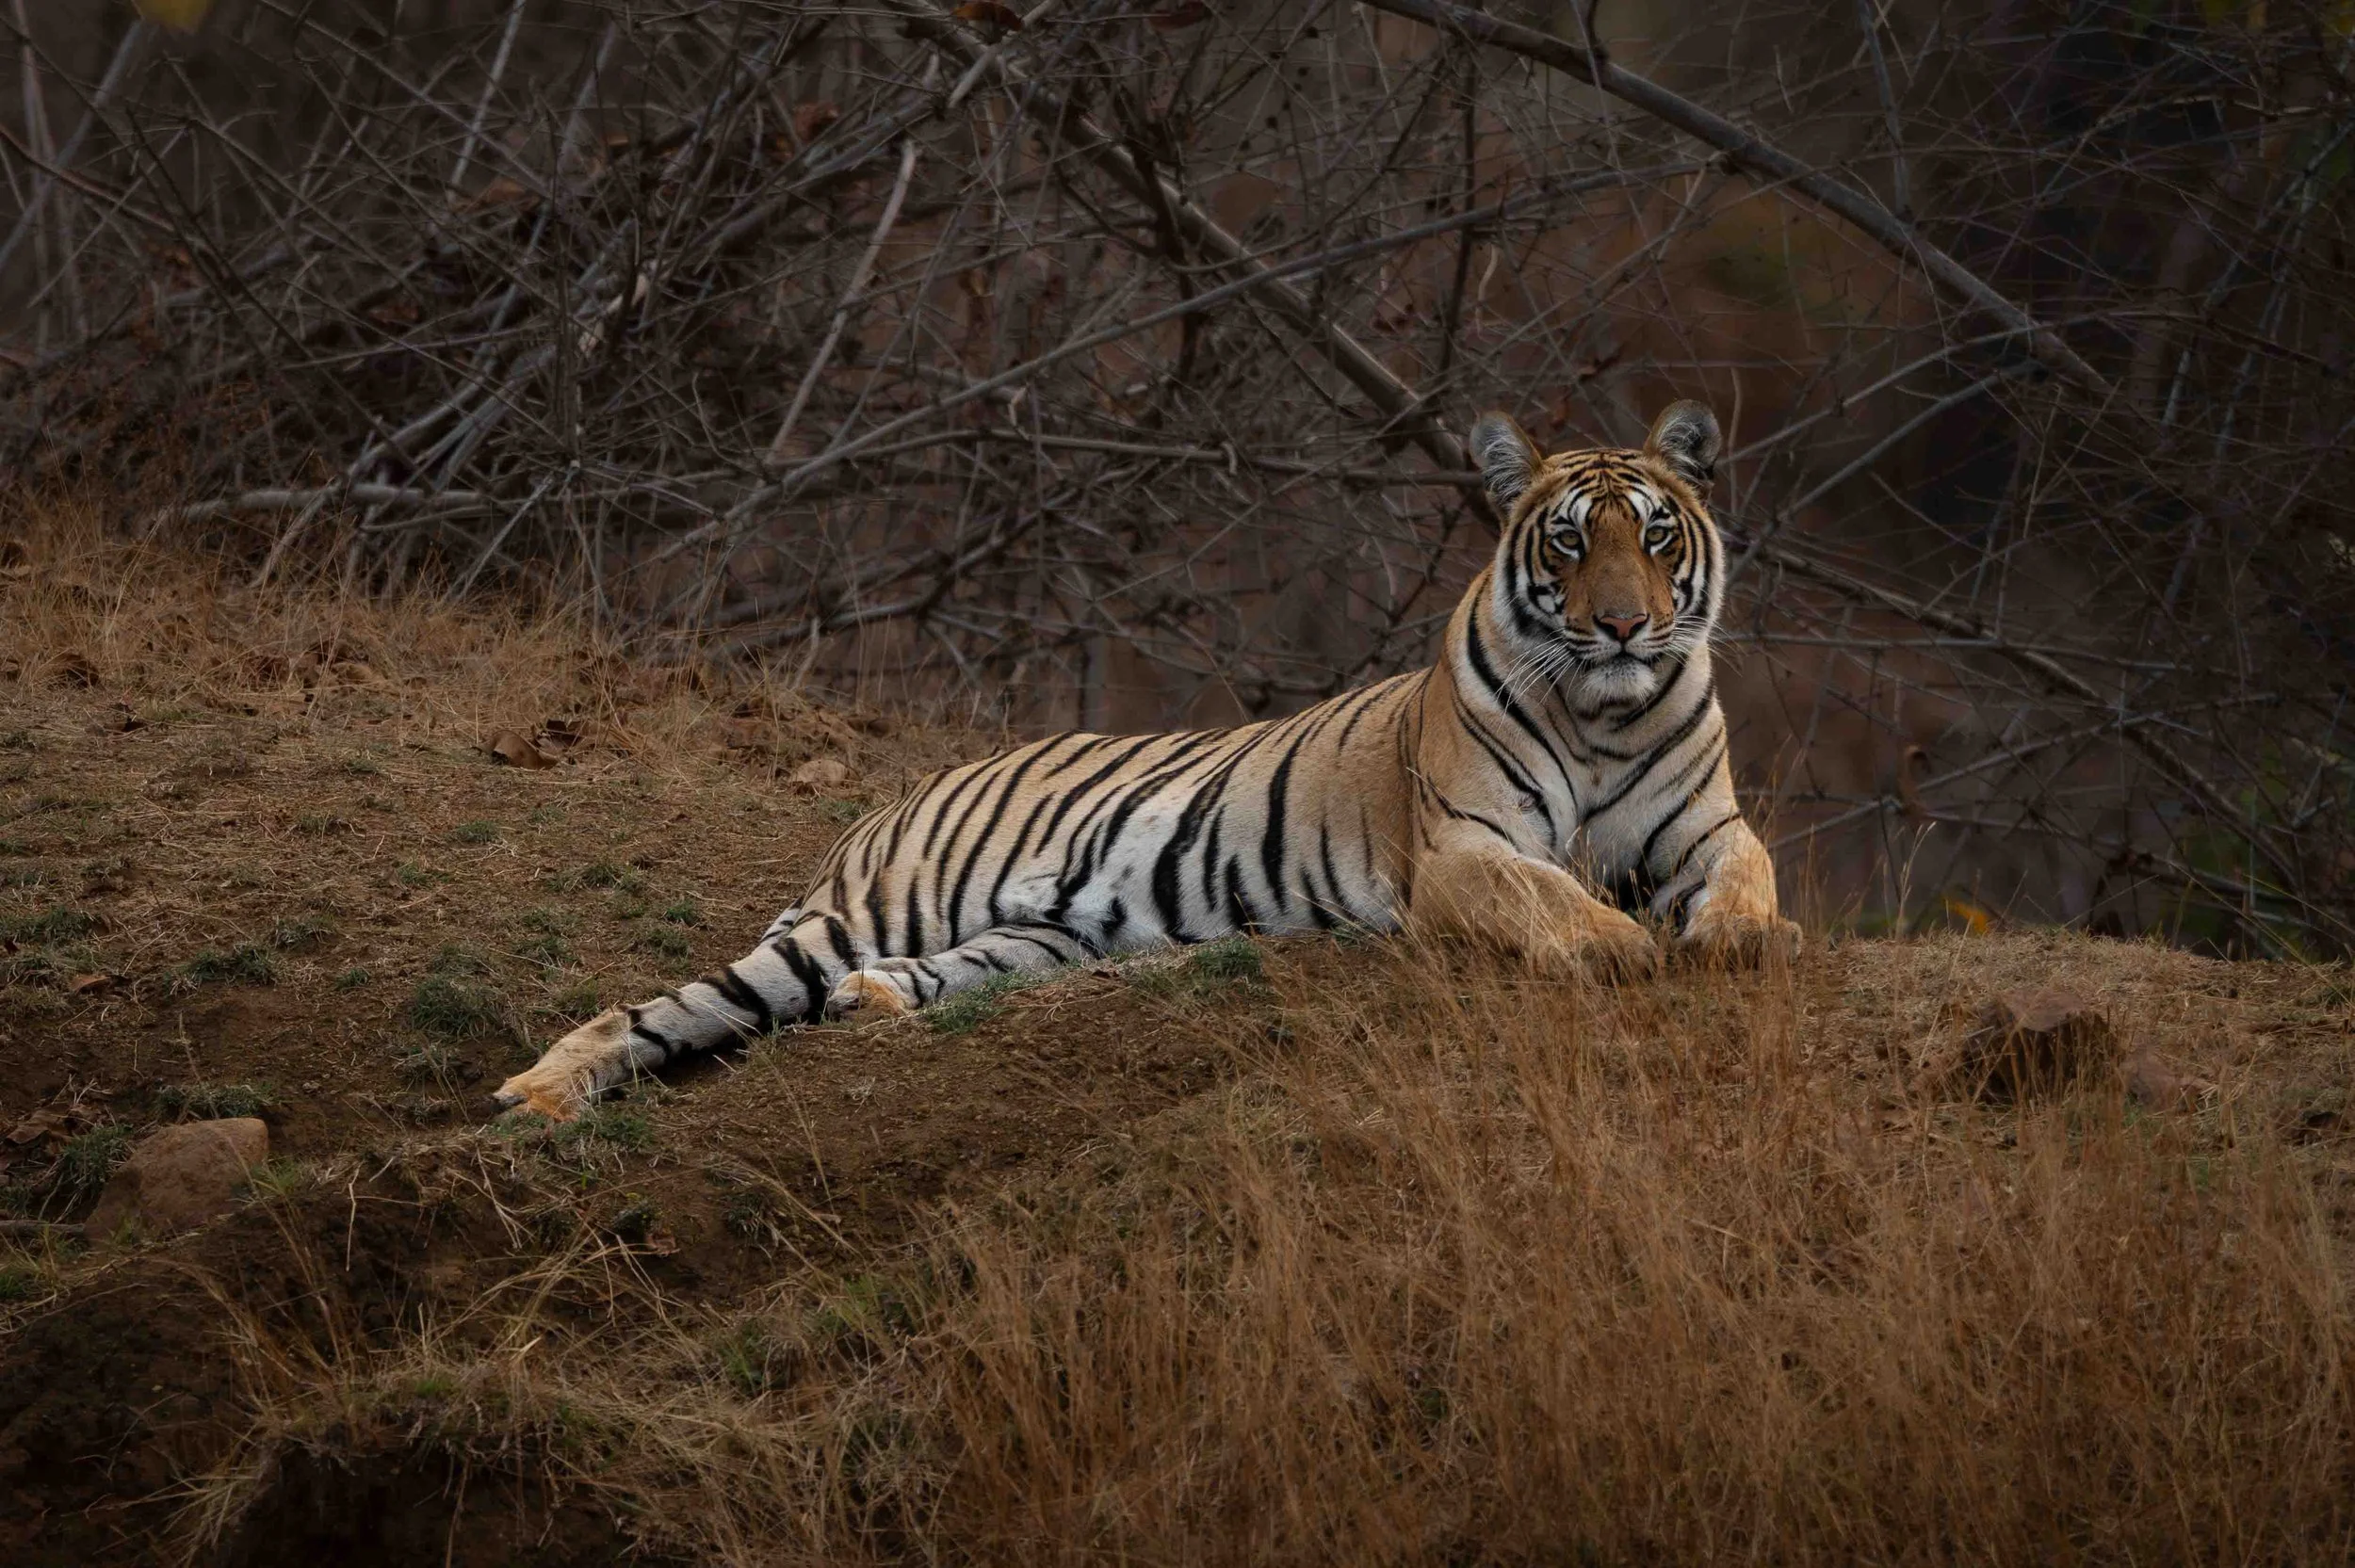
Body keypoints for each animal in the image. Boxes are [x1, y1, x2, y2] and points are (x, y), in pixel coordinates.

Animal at [493, 400, 1795, 1120]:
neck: (1603, 712)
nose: (1622, 626)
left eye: (1656, 537)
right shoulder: (1465, 851)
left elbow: (1750, 877)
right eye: (1570, 544)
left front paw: (1742, 939)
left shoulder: (1708, 831)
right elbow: (1554, 900)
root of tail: (890, 799)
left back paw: (876, 1007)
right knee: (661, 1009)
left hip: (1034, 940)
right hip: (853, 920)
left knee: (922, 980)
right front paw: (1620, 945)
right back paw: (540, 1096)